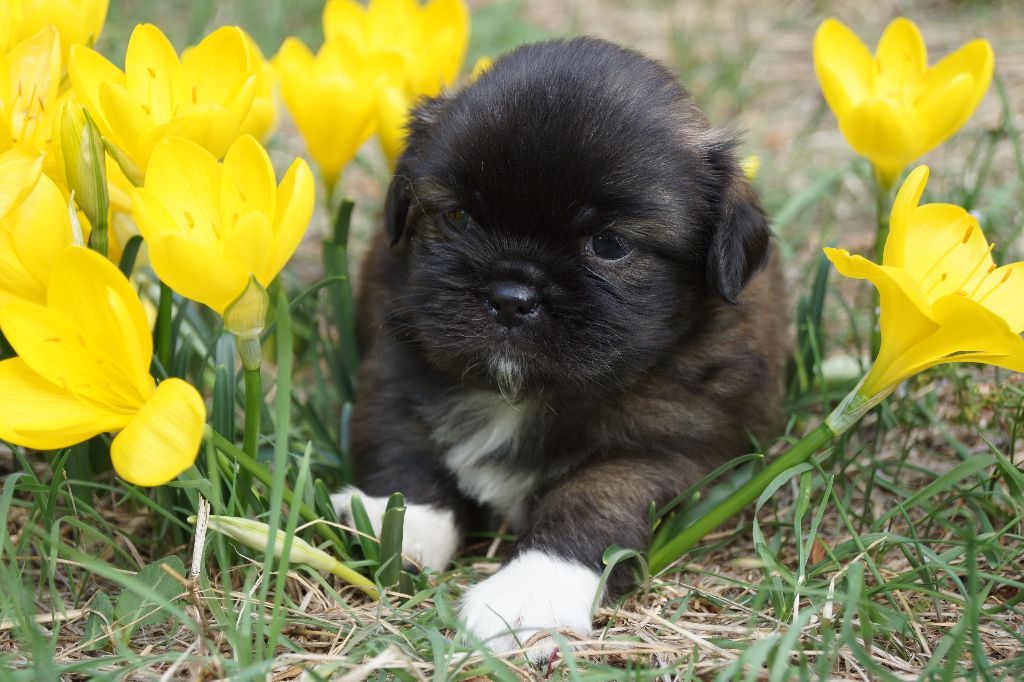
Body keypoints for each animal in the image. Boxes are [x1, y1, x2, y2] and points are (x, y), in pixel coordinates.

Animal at [331, 35, 786, 655]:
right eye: (457, 217)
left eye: (610, 245)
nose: (510, 295)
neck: (520, 397)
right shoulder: (396, 366)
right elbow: (399, 444)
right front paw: (396, 523)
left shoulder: (662, 450)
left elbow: (592, 501)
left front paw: (528, 594)